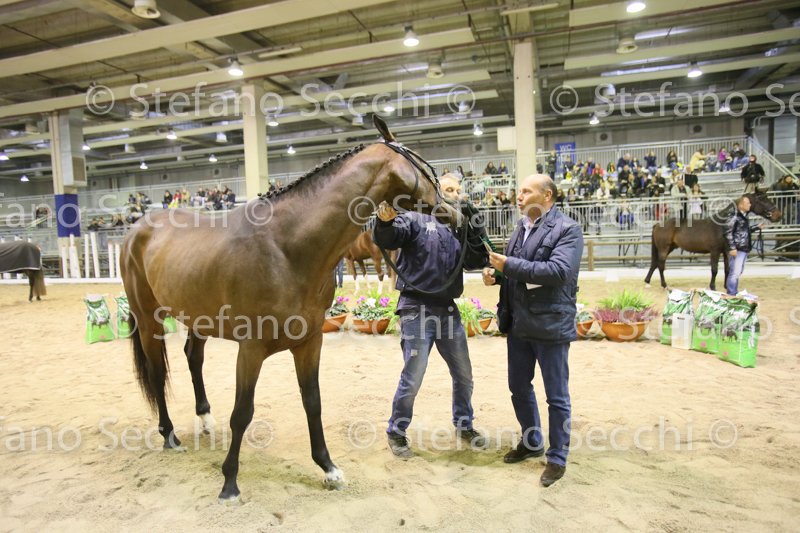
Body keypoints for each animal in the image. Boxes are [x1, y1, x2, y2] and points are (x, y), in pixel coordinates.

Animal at [120, 116, 453, 503]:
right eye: (423, 164)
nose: (455, 210)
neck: (285, 247)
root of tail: (136, 229)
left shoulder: (310, 343)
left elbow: (313, 402)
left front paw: (329, 468)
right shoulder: (250, 350)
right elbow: (243, 413)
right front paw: (230, 483)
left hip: (197, 318)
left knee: (193, 358)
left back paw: (205, 421)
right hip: (148, 319)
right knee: (157, 372)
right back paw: (169, 435)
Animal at [645, 191, 781, 290]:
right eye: (762, 199)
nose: (778, 215)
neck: (722, 224)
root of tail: (657, 225)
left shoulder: (726, 251)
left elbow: (727, 269)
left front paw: (726, 286)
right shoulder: (715, 251)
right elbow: (714, 270)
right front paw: (713, 287)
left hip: (669, 248)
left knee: (655, 264)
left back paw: (647, 282)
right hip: (664, 248)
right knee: (661, 265)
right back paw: (664, 285)